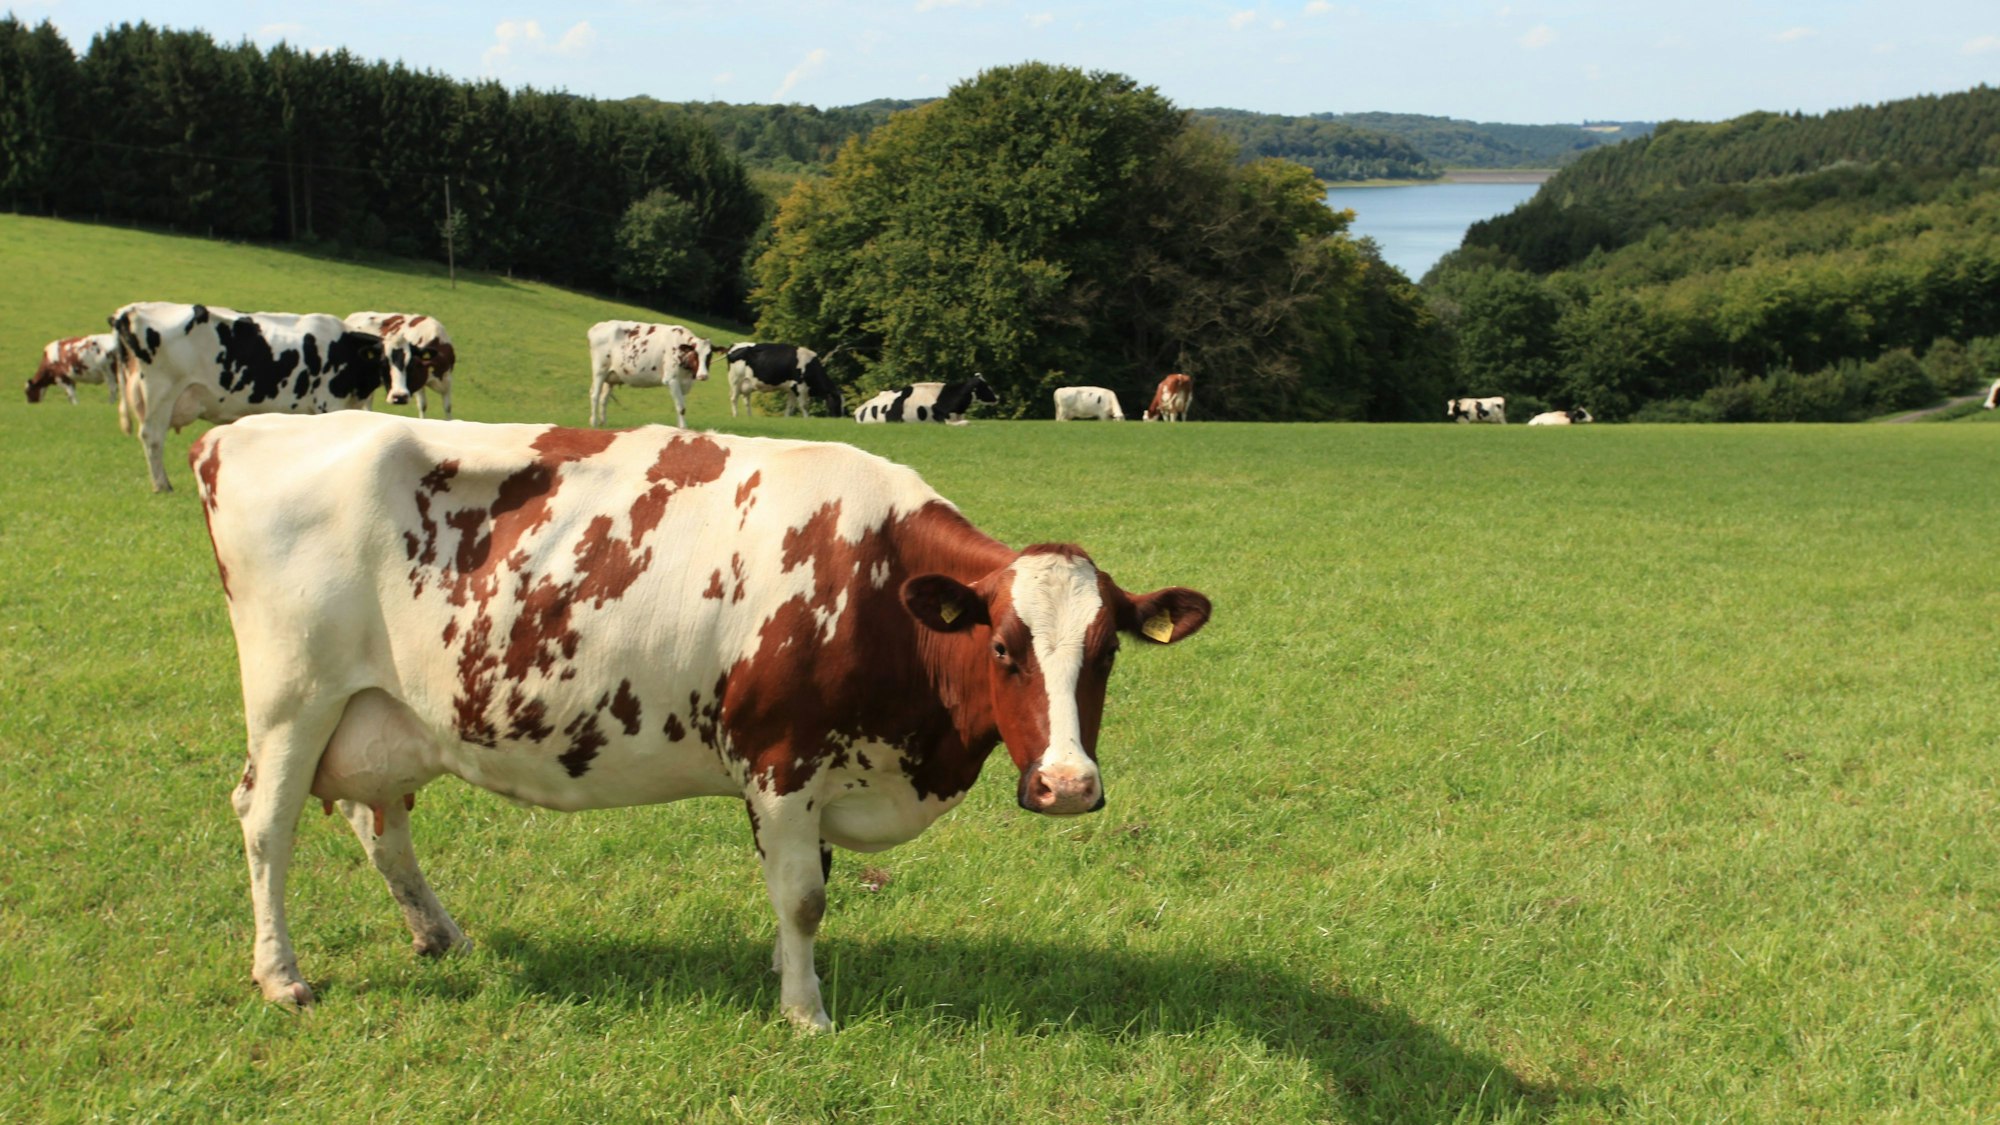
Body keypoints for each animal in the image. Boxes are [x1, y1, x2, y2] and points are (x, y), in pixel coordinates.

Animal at [109, 302, 389, 492]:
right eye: (387, 359)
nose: (397, 395)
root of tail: (131, 310)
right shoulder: (327, 404)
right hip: (161, 393)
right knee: (152, 438)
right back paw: (162, 485)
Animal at [192, 412, 1211, 1032]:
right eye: (1003, 645)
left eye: (1106, 650)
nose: (1066, 785)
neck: (872, 582)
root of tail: (243, 430)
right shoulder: (780, 759)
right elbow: (803, 897)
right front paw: (807, 1013)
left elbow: (804, 891)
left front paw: (789, 978)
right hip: (292, 699)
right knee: (266, 822)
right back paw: (281, 973)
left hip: (384, 715)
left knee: (381, 824)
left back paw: (442, 935)